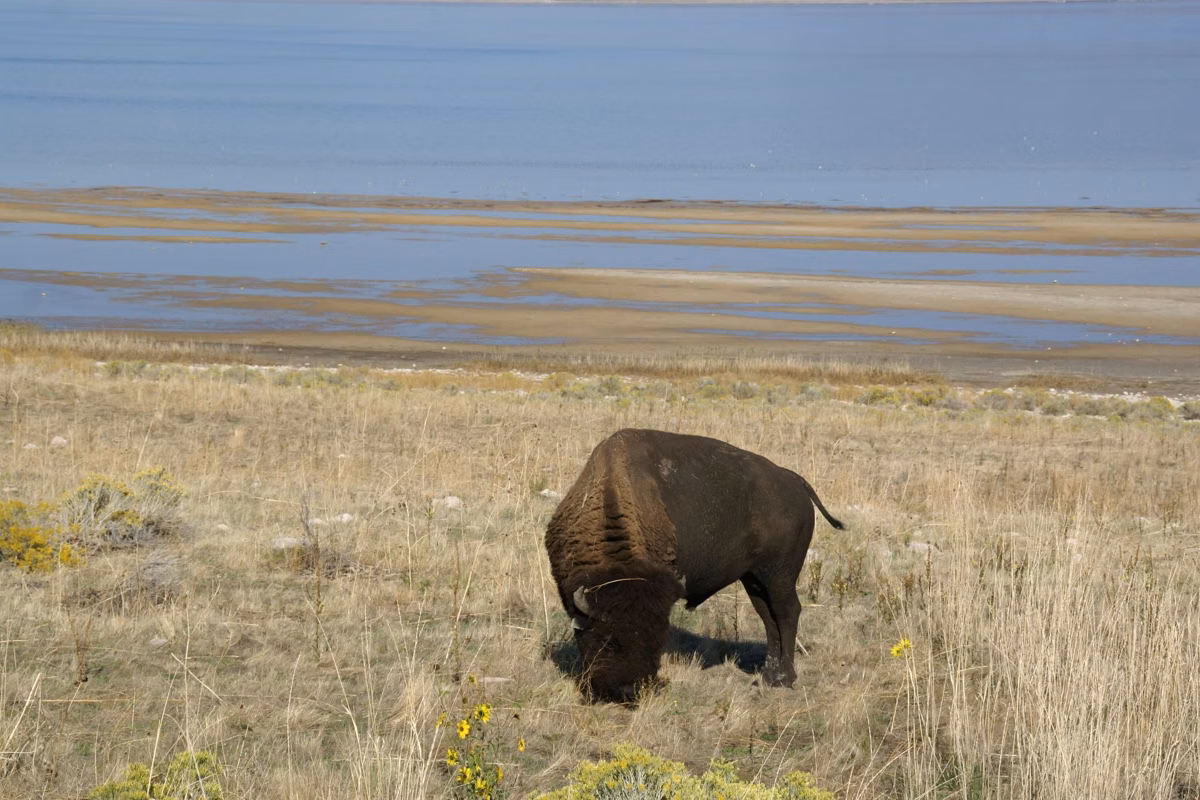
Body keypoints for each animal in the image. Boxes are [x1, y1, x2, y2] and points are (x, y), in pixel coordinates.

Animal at [545, 428, 844, 702]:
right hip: (755, 579)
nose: (629, 690)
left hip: (779, 576)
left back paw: (784, 678)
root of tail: (793, 480)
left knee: (787, 613)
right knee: (769, 618)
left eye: (655, 637)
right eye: (607, 639)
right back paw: (768, 675)